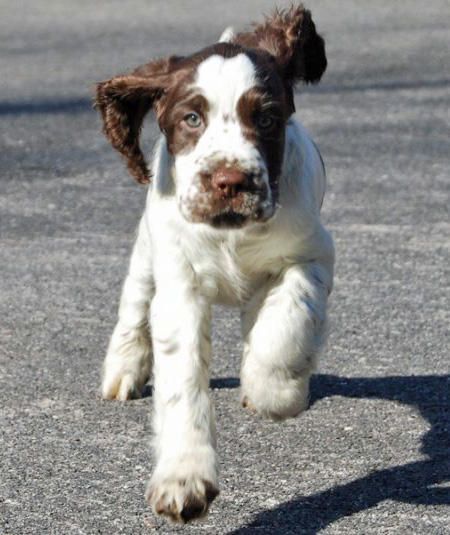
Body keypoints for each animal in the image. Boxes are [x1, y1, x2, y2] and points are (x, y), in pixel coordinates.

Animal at [95, 3, 334, 524]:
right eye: (191, 118)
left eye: (266, 118)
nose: (229, 181)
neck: (230, 232)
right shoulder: (179, 284)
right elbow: (182, 380)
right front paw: (184, 480)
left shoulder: (311, 253)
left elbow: (286, 320)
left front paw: (274, 392)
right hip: (148, 248)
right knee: (133, 304)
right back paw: (123, 369)